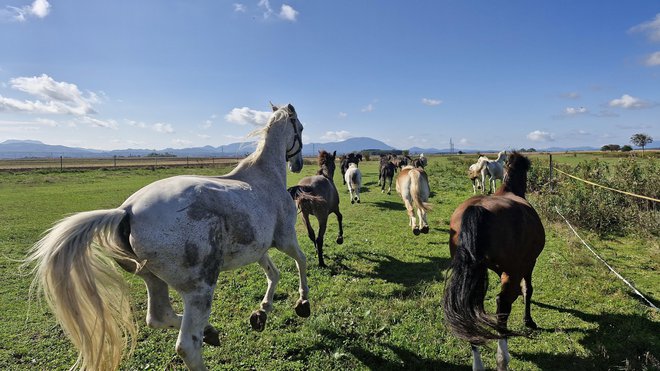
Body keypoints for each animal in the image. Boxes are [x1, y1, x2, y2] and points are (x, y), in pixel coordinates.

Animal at [25, 104, 312, 371]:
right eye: (300, 127)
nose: (298, 164)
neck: (265, 178)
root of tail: (127, 211)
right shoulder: (285, 239)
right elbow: (301, 261)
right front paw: (303, 303)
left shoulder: (258, 248)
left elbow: (273, 274)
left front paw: (262, 312)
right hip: (199, 288)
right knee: (186, 345)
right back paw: (205, 335)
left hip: (153, 279)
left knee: (158, 317)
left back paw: (211, 331)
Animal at [444, 152, 548, 371]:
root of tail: (477, 209)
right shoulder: (529, 264)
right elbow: (528, 289)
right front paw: (528, 321)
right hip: (513, 272)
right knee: (503, 305)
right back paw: (502, 358)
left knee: (469, 306)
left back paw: (478, 362)